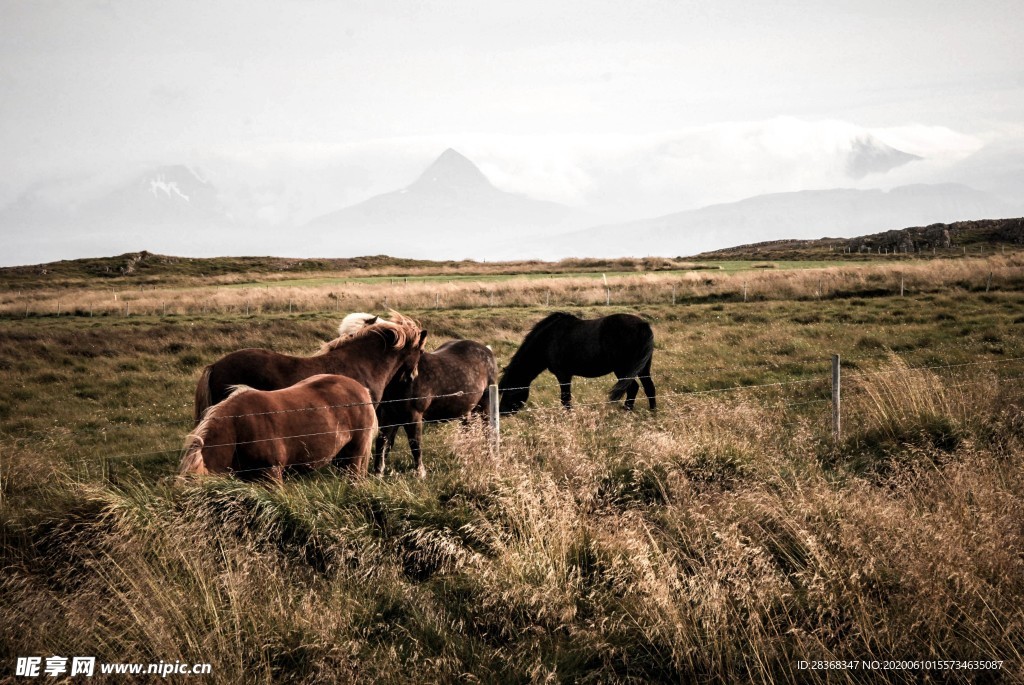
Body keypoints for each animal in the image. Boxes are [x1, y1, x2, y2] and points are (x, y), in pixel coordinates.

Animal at [374, 339, 497, 478]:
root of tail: (487, 350)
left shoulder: (413, 416)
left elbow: (415, 444)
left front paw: (420, 472)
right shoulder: (389, 416)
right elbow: (383, 442)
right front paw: (378, 472)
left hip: (486, 405)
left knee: (487, 432)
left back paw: (489, 457)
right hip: (467, 410)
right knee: (468, 432)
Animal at [498, 312, 656, 414]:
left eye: (509, 389)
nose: (501, 412)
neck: (548, 339)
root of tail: (643, 324)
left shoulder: (563, 375)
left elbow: (565, 399)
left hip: (623, 370)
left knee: (633, 388)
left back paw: (627, 411)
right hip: (641, 369)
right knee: (649, 388)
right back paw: (652, 412)